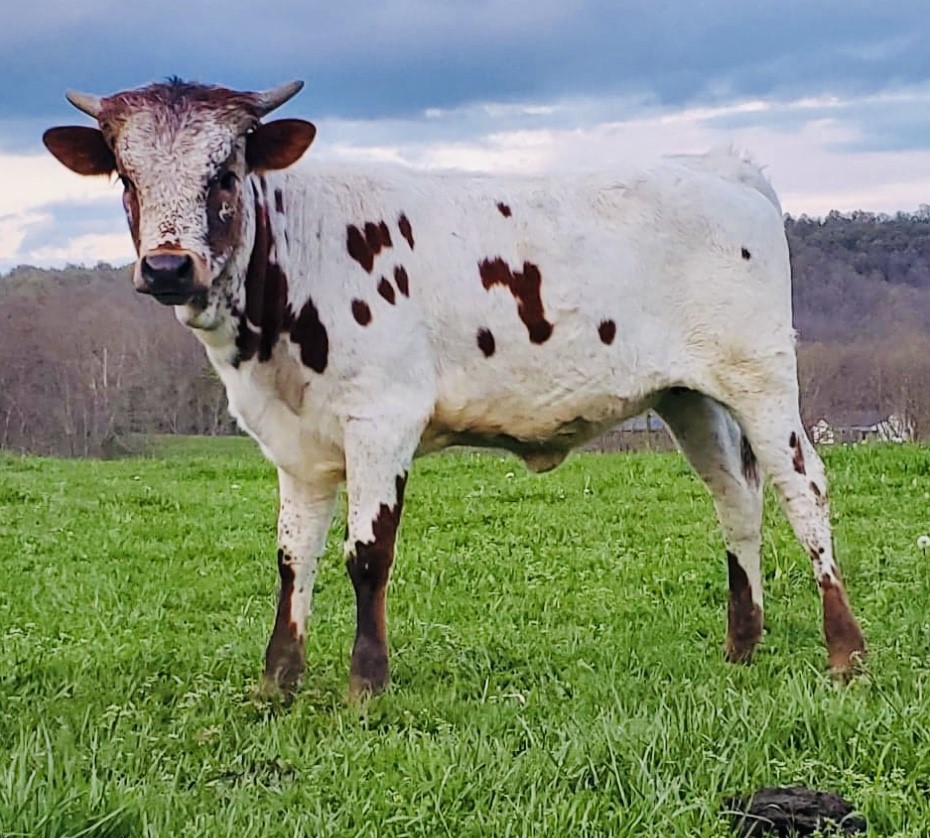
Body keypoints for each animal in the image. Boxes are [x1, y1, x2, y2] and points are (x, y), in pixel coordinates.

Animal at [43, 78, 865, 699]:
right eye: (126, 176)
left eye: (224, 171)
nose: (167, 267)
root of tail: (720, 165)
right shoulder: (296, 445)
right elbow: (292, 559)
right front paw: (277, 684)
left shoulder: (382, 420)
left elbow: (366, 554)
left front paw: (365, 685)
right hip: (689, 397)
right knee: (736, 499)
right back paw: (742, 646)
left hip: (762, 378)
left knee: (803, 489)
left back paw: (845, 653)